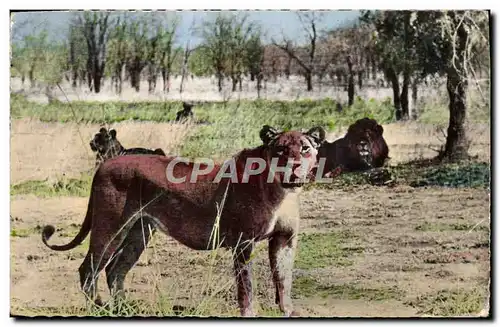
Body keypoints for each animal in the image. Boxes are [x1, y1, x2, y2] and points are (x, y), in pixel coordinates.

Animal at [41, 125, 326, 318]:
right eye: (280, 150)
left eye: (305, 148)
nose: (295, 166)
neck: (282, 192)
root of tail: (105, 163)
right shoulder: (243, 243)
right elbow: (246, 286)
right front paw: (249, 314)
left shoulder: (284, 240)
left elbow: (284, 279)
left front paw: (287, 311)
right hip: (111, 227)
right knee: (89, 268)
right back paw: (100, 309)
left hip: (139, 232)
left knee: (115, 270)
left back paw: (123, 309)